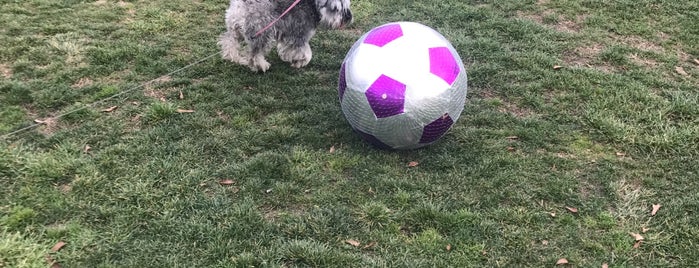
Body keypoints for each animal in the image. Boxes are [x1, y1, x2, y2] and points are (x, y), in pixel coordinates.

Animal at [219, 0, 352, 72]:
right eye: (336, 8)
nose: (348, 18)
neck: (313, 6)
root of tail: (241, 5)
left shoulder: (288, 36)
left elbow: (288, 49)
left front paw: (289, 57)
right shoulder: (299, 35)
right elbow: (305, 53)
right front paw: (300, 62)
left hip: (235, 29)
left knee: (228, 41)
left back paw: (232, 57)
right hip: (262, 32)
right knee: (255, 54)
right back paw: (261, 65)